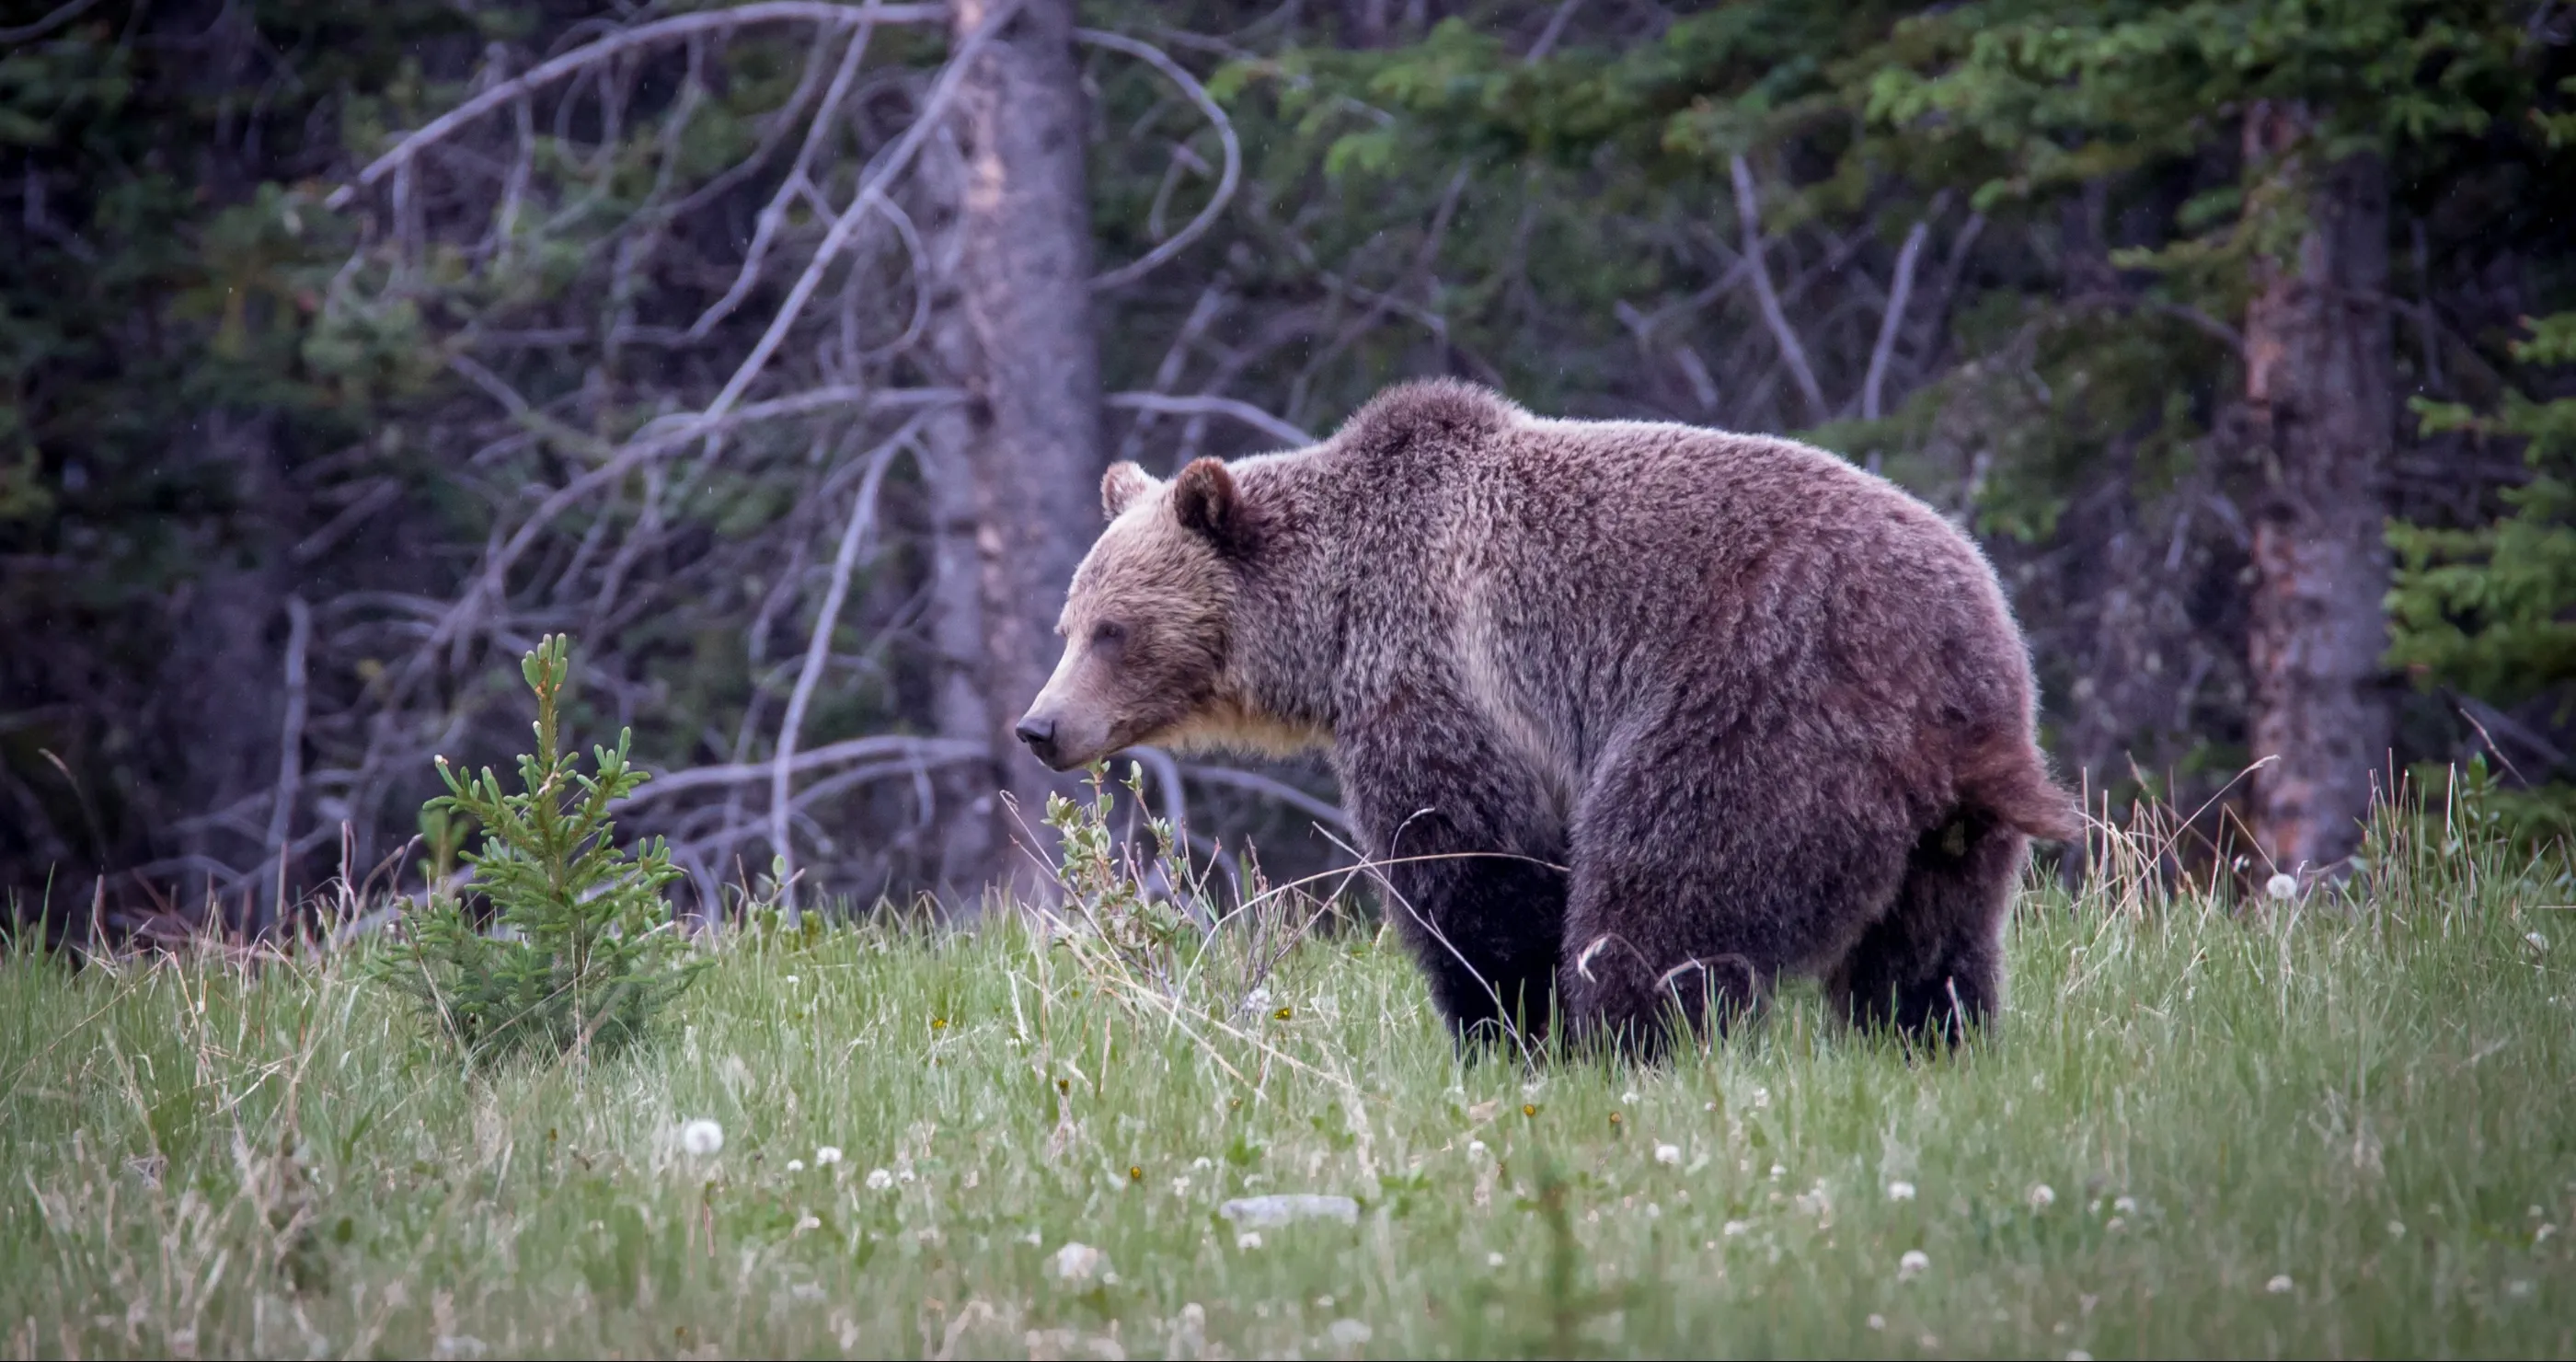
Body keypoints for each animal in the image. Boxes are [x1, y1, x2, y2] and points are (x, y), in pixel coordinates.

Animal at [1015, 378, 2081, 1050]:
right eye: (1068, 623)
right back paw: (1927, 1041)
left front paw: (1503, 1026)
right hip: (1951, 812)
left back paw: (1632, 1038)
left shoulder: (1445, 676)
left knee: (1667, 890)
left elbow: (1469, 865)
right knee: (1928, 949)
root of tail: (1957, 682)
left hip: (1760, 704)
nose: (1039, 727)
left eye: (1113, 630)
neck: (1334, 619)